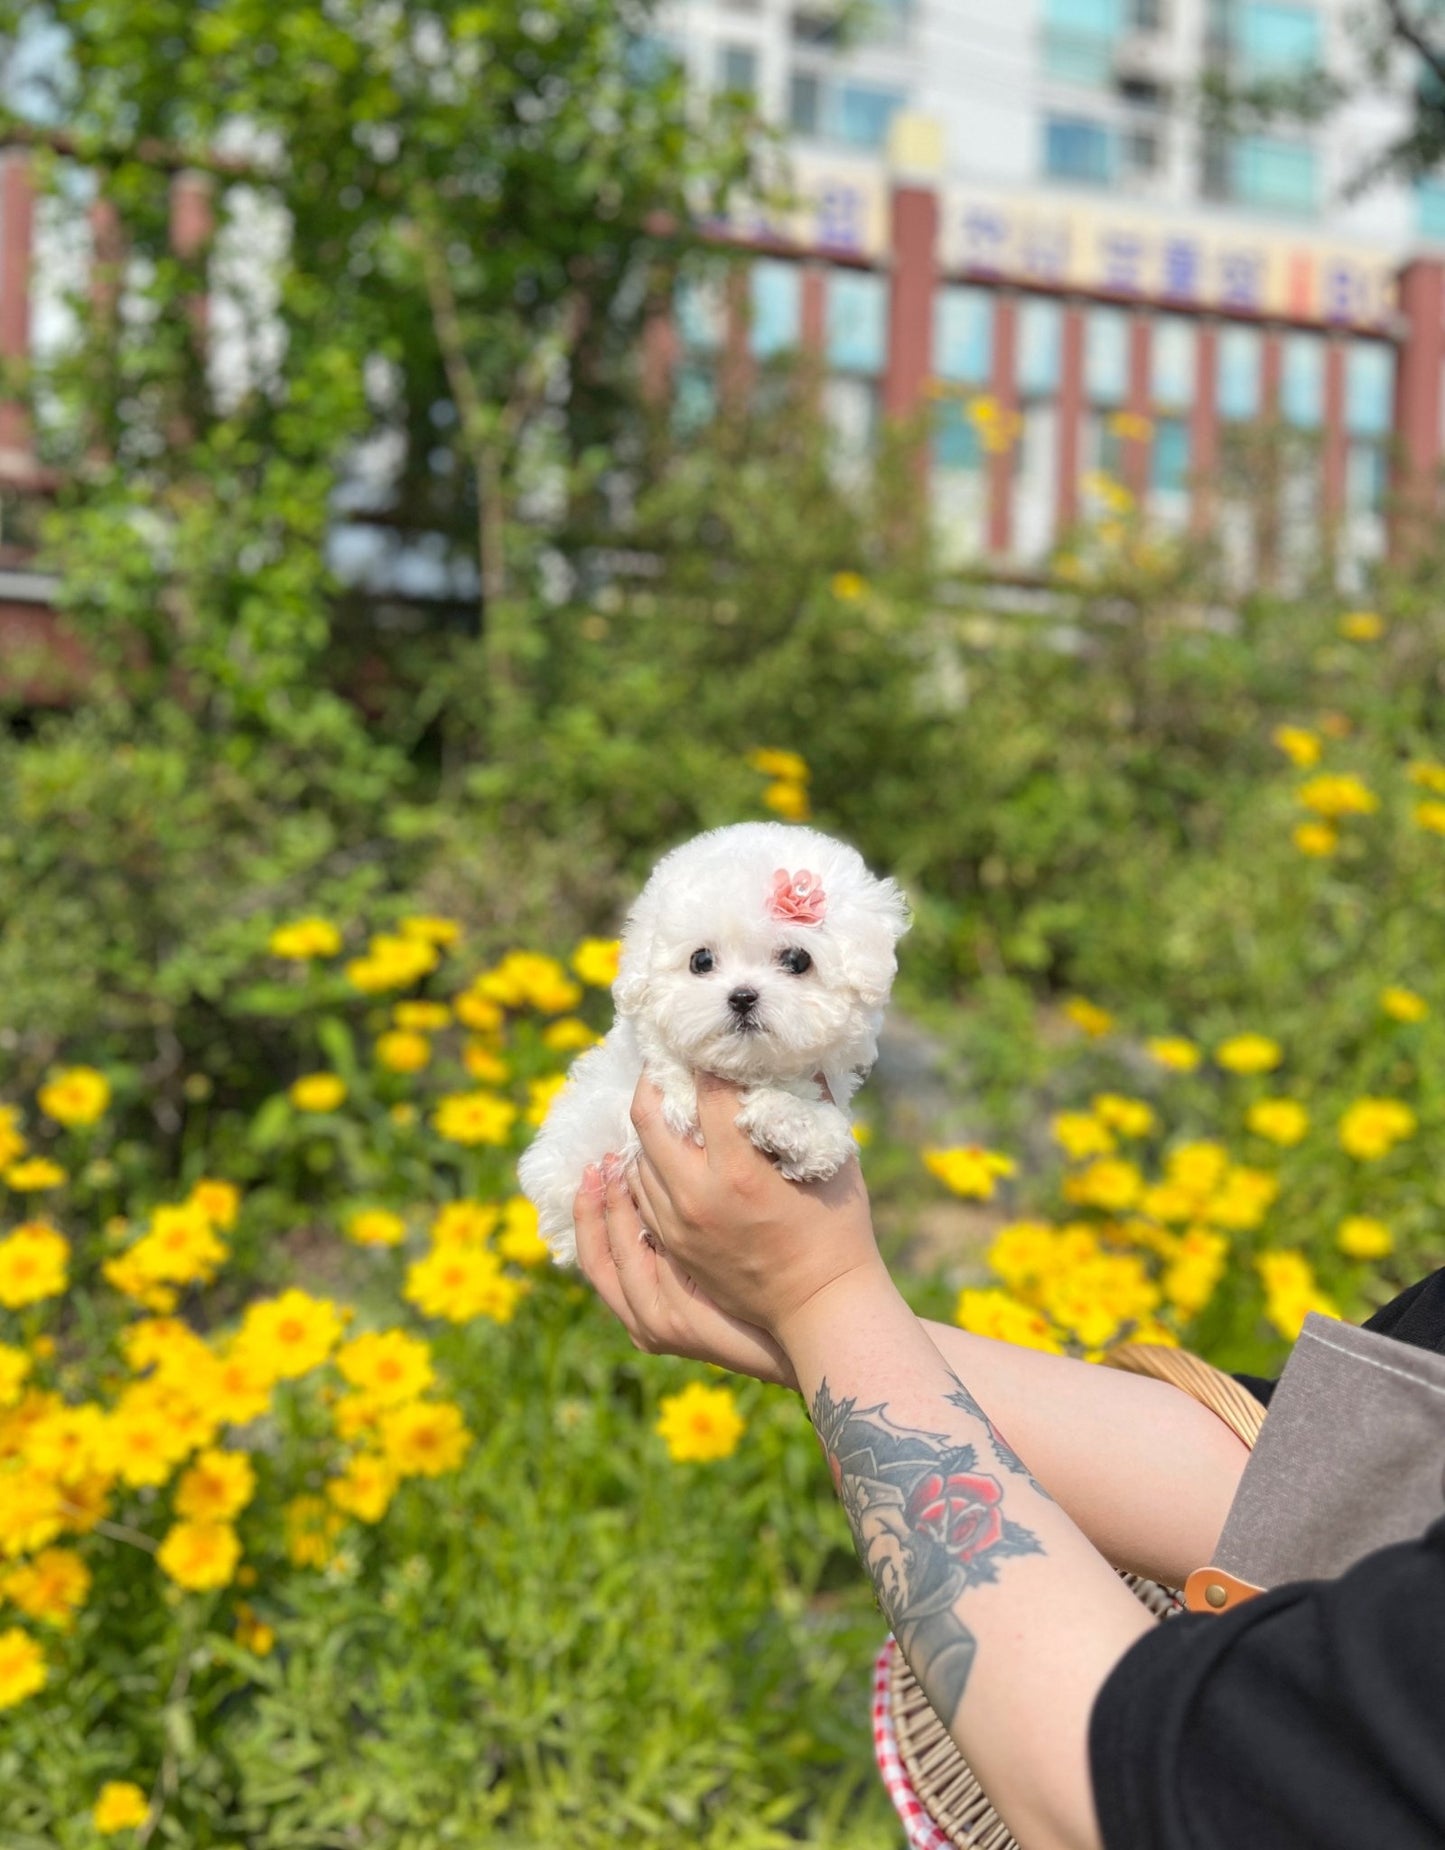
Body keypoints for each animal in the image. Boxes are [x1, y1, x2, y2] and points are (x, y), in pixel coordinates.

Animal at [518, 821, 906, 1265]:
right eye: (701, 960)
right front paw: (788, 1119)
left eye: (797, 960)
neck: (745, 1067)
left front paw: (802, 1131)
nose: (742, 996)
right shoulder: (661, 1096)